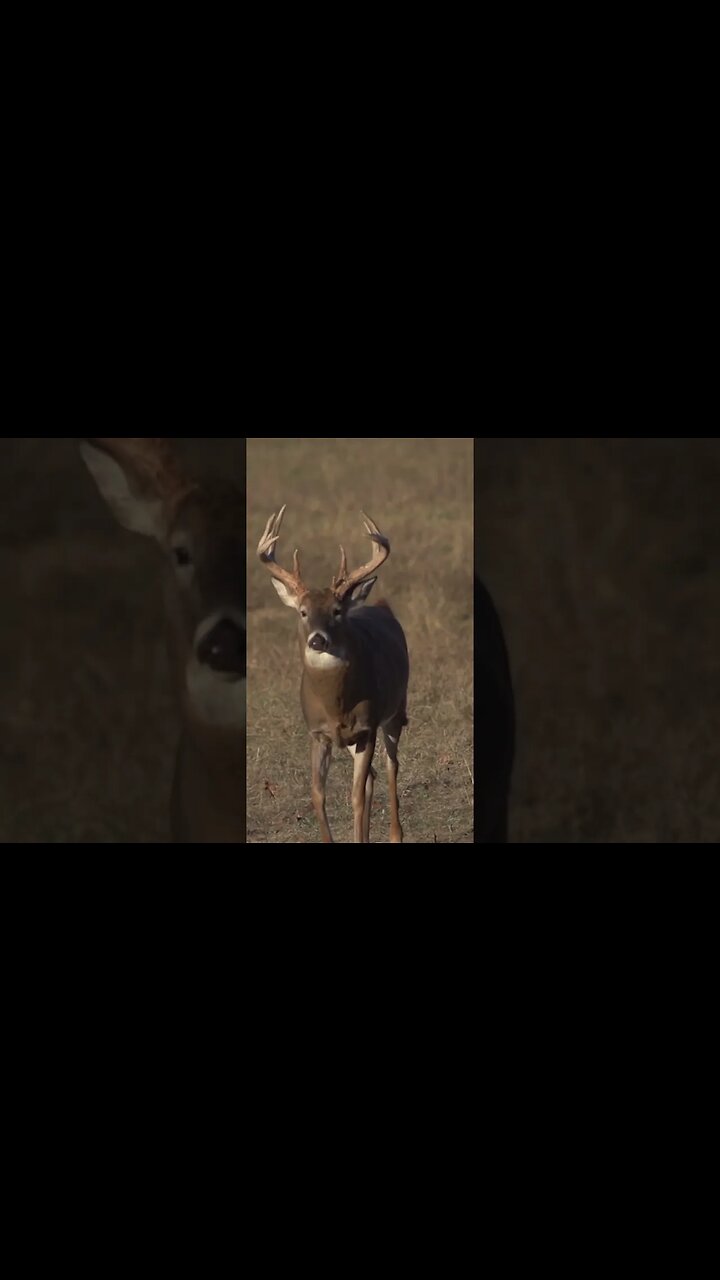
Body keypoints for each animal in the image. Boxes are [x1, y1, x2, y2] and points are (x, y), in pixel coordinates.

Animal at [257, 506, 409, 844]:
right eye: (303, 612)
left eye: (337, 611)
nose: (317, 640)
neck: (336, 703)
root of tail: (381, 605)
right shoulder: (318, 733)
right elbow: (318, 795)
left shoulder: (367, 727)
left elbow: (356, 796)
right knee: (374, 776)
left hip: (396, 710)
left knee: (391, 765)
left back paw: (395, 834)